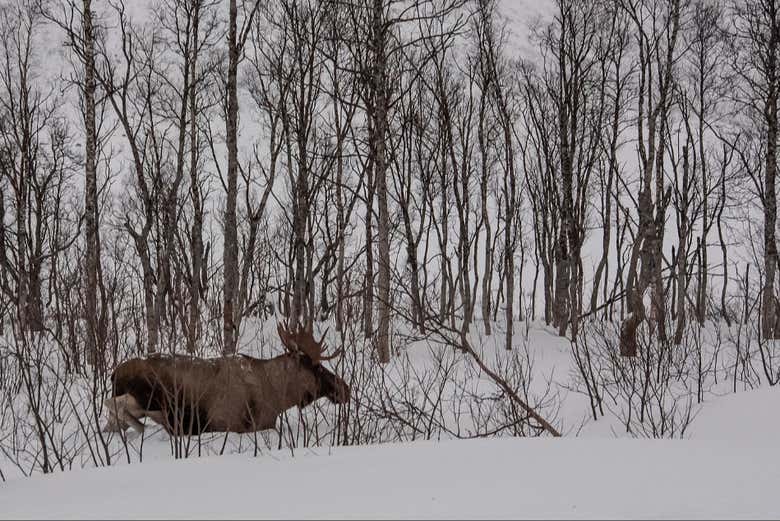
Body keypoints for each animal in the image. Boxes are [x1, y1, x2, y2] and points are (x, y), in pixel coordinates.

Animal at [103, 322, 350, 432]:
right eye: (318, 368)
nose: (345, 388)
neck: (278, 397)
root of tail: (114, 373)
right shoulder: (239, 423)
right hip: (151, 396)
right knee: (113, 404)